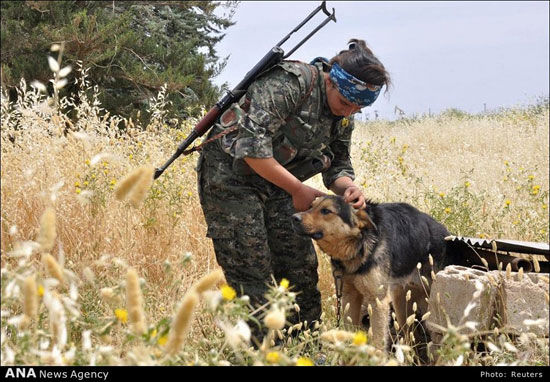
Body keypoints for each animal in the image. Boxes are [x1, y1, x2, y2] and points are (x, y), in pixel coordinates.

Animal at [294, 197, 462, 352]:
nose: (294, 217)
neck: (359, 245)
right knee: (409, 334)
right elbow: (349, 330)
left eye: (326, 211)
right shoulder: (349, 295)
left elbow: (378, 341)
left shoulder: (378, 302)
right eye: (310, 206)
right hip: (401, 304)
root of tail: (446, 234)